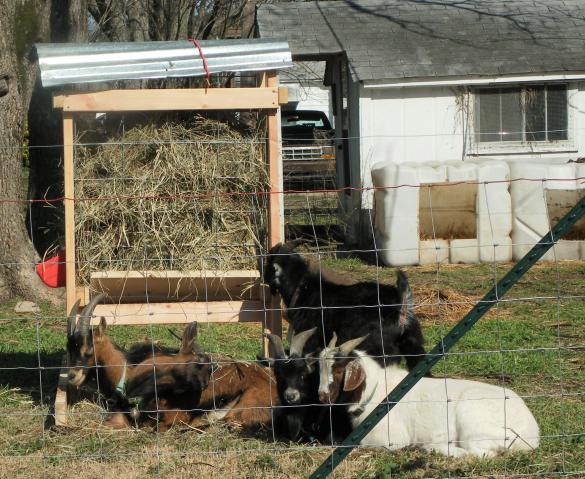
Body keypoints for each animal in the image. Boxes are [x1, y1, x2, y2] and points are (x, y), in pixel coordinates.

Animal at [262, 244, 426, 372]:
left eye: (268, 262)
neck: (303, 288)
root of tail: (401, 304)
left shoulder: (309, 340)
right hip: (413, 345)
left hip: (380, 350)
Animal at [318, 336, 540, 460]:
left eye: (339, 370)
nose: (322, 396)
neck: (376, 391)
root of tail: (531, 435)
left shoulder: (391, 438)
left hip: (474, 424)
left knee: (480, 453)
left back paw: (433, 448)